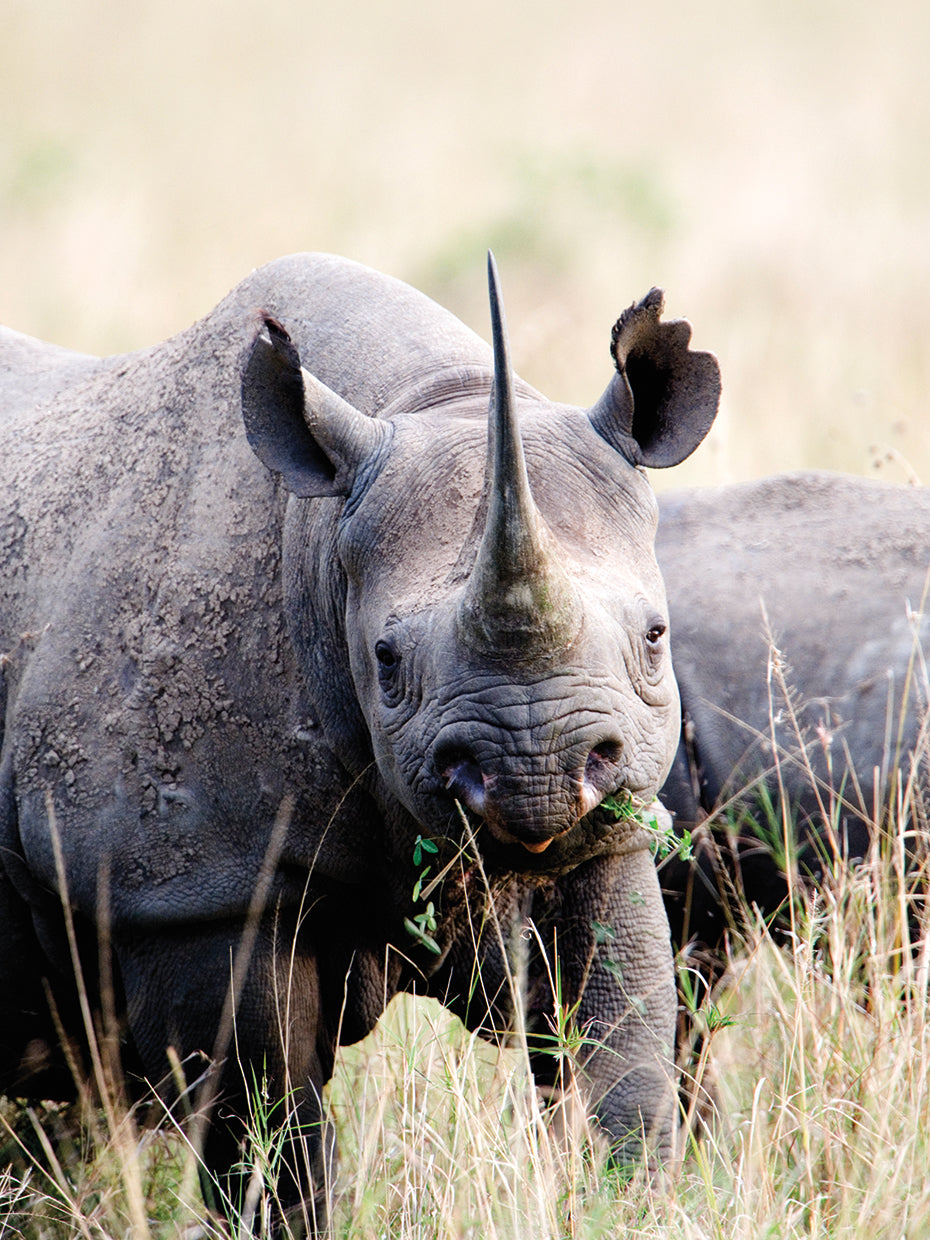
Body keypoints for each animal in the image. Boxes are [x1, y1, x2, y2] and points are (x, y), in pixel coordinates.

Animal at [0, 252, 720, 1230]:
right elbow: (266, 1130)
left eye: (655, 638)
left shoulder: (611, 827)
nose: (536, 770)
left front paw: (624, 1209)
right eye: (386, 661)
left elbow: (620, 1074)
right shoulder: (193, 889)